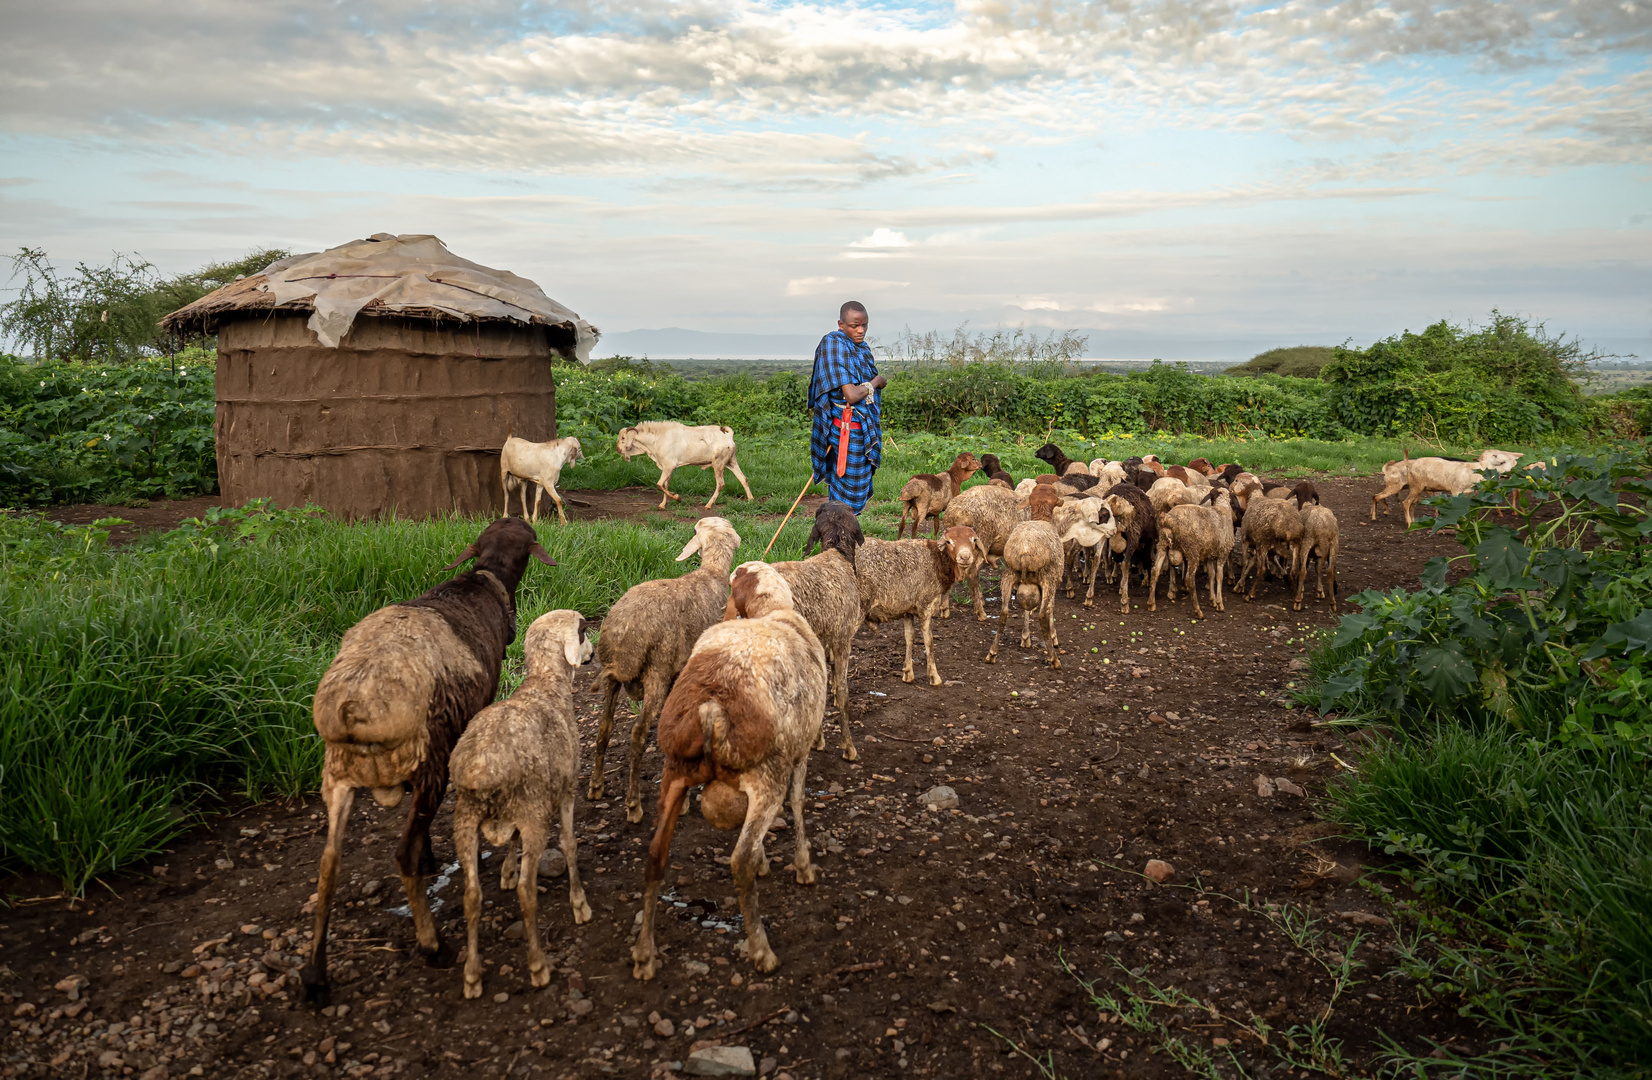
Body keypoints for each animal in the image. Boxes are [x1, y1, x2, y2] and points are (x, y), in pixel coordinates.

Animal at [300, 521, 551, 1010]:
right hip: (427, 760)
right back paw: (433, 946)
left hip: (336, 775)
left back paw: (317, 978)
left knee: (328, 866)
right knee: (402, 853)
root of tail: (351, 708)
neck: (484, 579)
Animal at [455, 614, 598, 1004]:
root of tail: (482, 771)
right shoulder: (565, 790)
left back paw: (472, 975)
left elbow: (511, 843)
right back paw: (538, 966)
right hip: (534, 814)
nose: (593, 653)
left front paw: (506, 870)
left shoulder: (520, 812)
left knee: (471, 895)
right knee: (526, 892)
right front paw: (579, 903)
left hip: (466, 820)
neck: (545, 685)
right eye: (583, 630)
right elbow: (569, 845)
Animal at [584, 521, 733, 825]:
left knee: (605, 727)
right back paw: (634, 805)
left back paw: (596, 786)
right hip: (656, 672)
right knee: (637, 733)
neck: (710, 575)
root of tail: (624, 635)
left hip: (614, 678)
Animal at [627, 568, 822, 984]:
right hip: (767, 778)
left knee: (655, 857)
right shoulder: (800, 752)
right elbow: (799, 803)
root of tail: (711, 706)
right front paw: (802, 866)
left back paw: (645, 954)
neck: (774, 614)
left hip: (675, 773)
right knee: (739, 861)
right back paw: (762, 951)